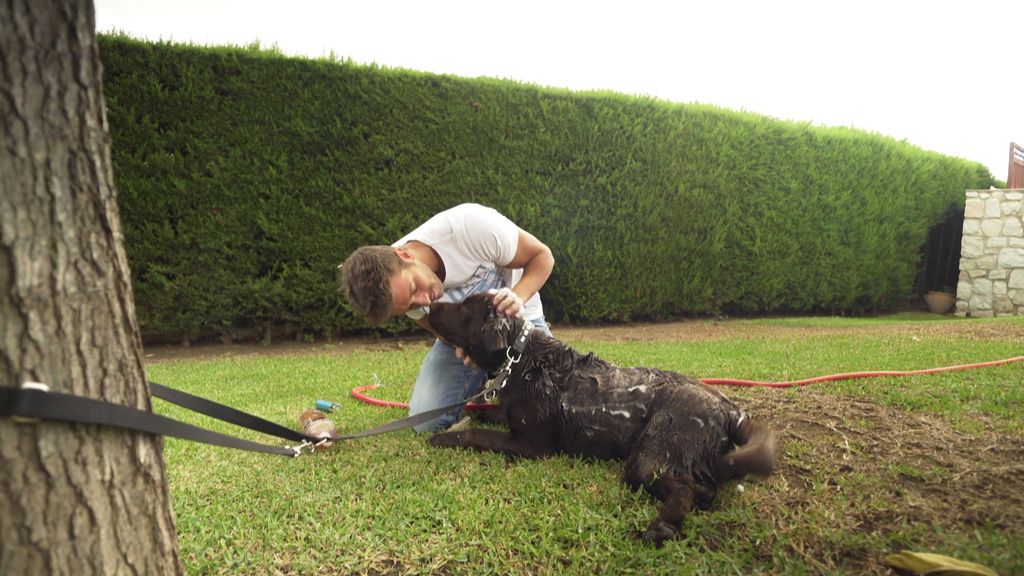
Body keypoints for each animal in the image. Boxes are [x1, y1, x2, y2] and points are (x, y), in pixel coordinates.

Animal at [425, 291, 774, 541]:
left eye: (465, 308)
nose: (430, 305)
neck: (521, 358)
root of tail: (730, 409)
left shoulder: (532, 445)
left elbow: (475, 434)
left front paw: (443, 437)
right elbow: (485, 412)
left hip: (646, 459)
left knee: (685, 487)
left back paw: (661, 527)